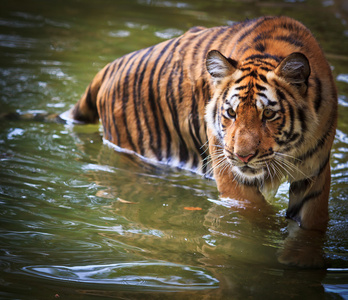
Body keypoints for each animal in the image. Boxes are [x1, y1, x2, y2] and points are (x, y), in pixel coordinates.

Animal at [63, 16, 338, 238]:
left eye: (268, 114)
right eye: (231, 113)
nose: (243, 156)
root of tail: (112, 65)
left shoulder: (314, 174)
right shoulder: (232, 176)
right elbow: (255, 216)